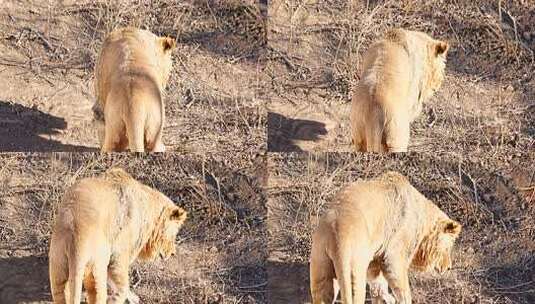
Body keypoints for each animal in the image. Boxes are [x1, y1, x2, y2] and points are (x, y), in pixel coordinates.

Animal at [48, 167, 189, 302]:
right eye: (174, 234)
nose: (173, 253)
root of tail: (76, 240)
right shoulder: (119, 254)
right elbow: (122, 286)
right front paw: (131, 298)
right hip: (97, 267)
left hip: (58, 267)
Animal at [312, 172, 462, 302]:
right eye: (448, 248)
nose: (449, 267)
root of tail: (336, 228)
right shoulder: (394, 254)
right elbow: (401, 288)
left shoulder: (375, 259)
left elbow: (377, 285)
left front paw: (385, 298)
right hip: (353, 267)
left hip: (321, 266)